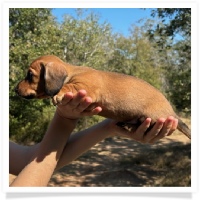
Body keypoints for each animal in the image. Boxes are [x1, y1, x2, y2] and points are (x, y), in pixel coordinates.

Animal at [15, 54, 191, 139]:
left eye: (30, 75)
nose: (15, 89)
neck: (72, 72)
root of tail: (172, 113)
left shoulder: (84, 87)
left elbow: (68, 87)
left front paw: (59, 93)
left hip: (152, 118)